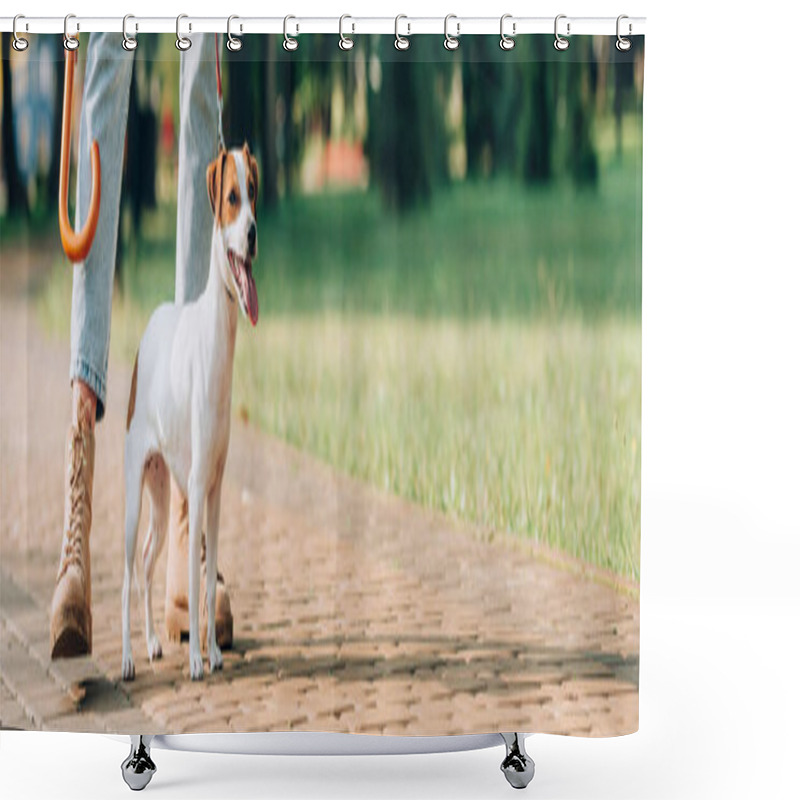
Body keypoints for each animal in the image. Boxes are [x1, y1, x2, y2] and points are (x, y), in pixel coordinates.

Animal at [122, 145, 260, 680]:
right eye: (232, 198)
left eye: (254, 194)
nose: (252, 233)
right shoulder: (199, 489)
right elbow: (197, 579)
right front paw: (199, 658)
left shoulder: (216, 493)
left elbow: (208, 567)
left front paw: (215, 651)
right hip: (134, 498)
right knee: (126, 572)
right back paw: (127, 657)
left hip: (162, 500)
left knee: (145, 563)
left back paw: (152, 643)